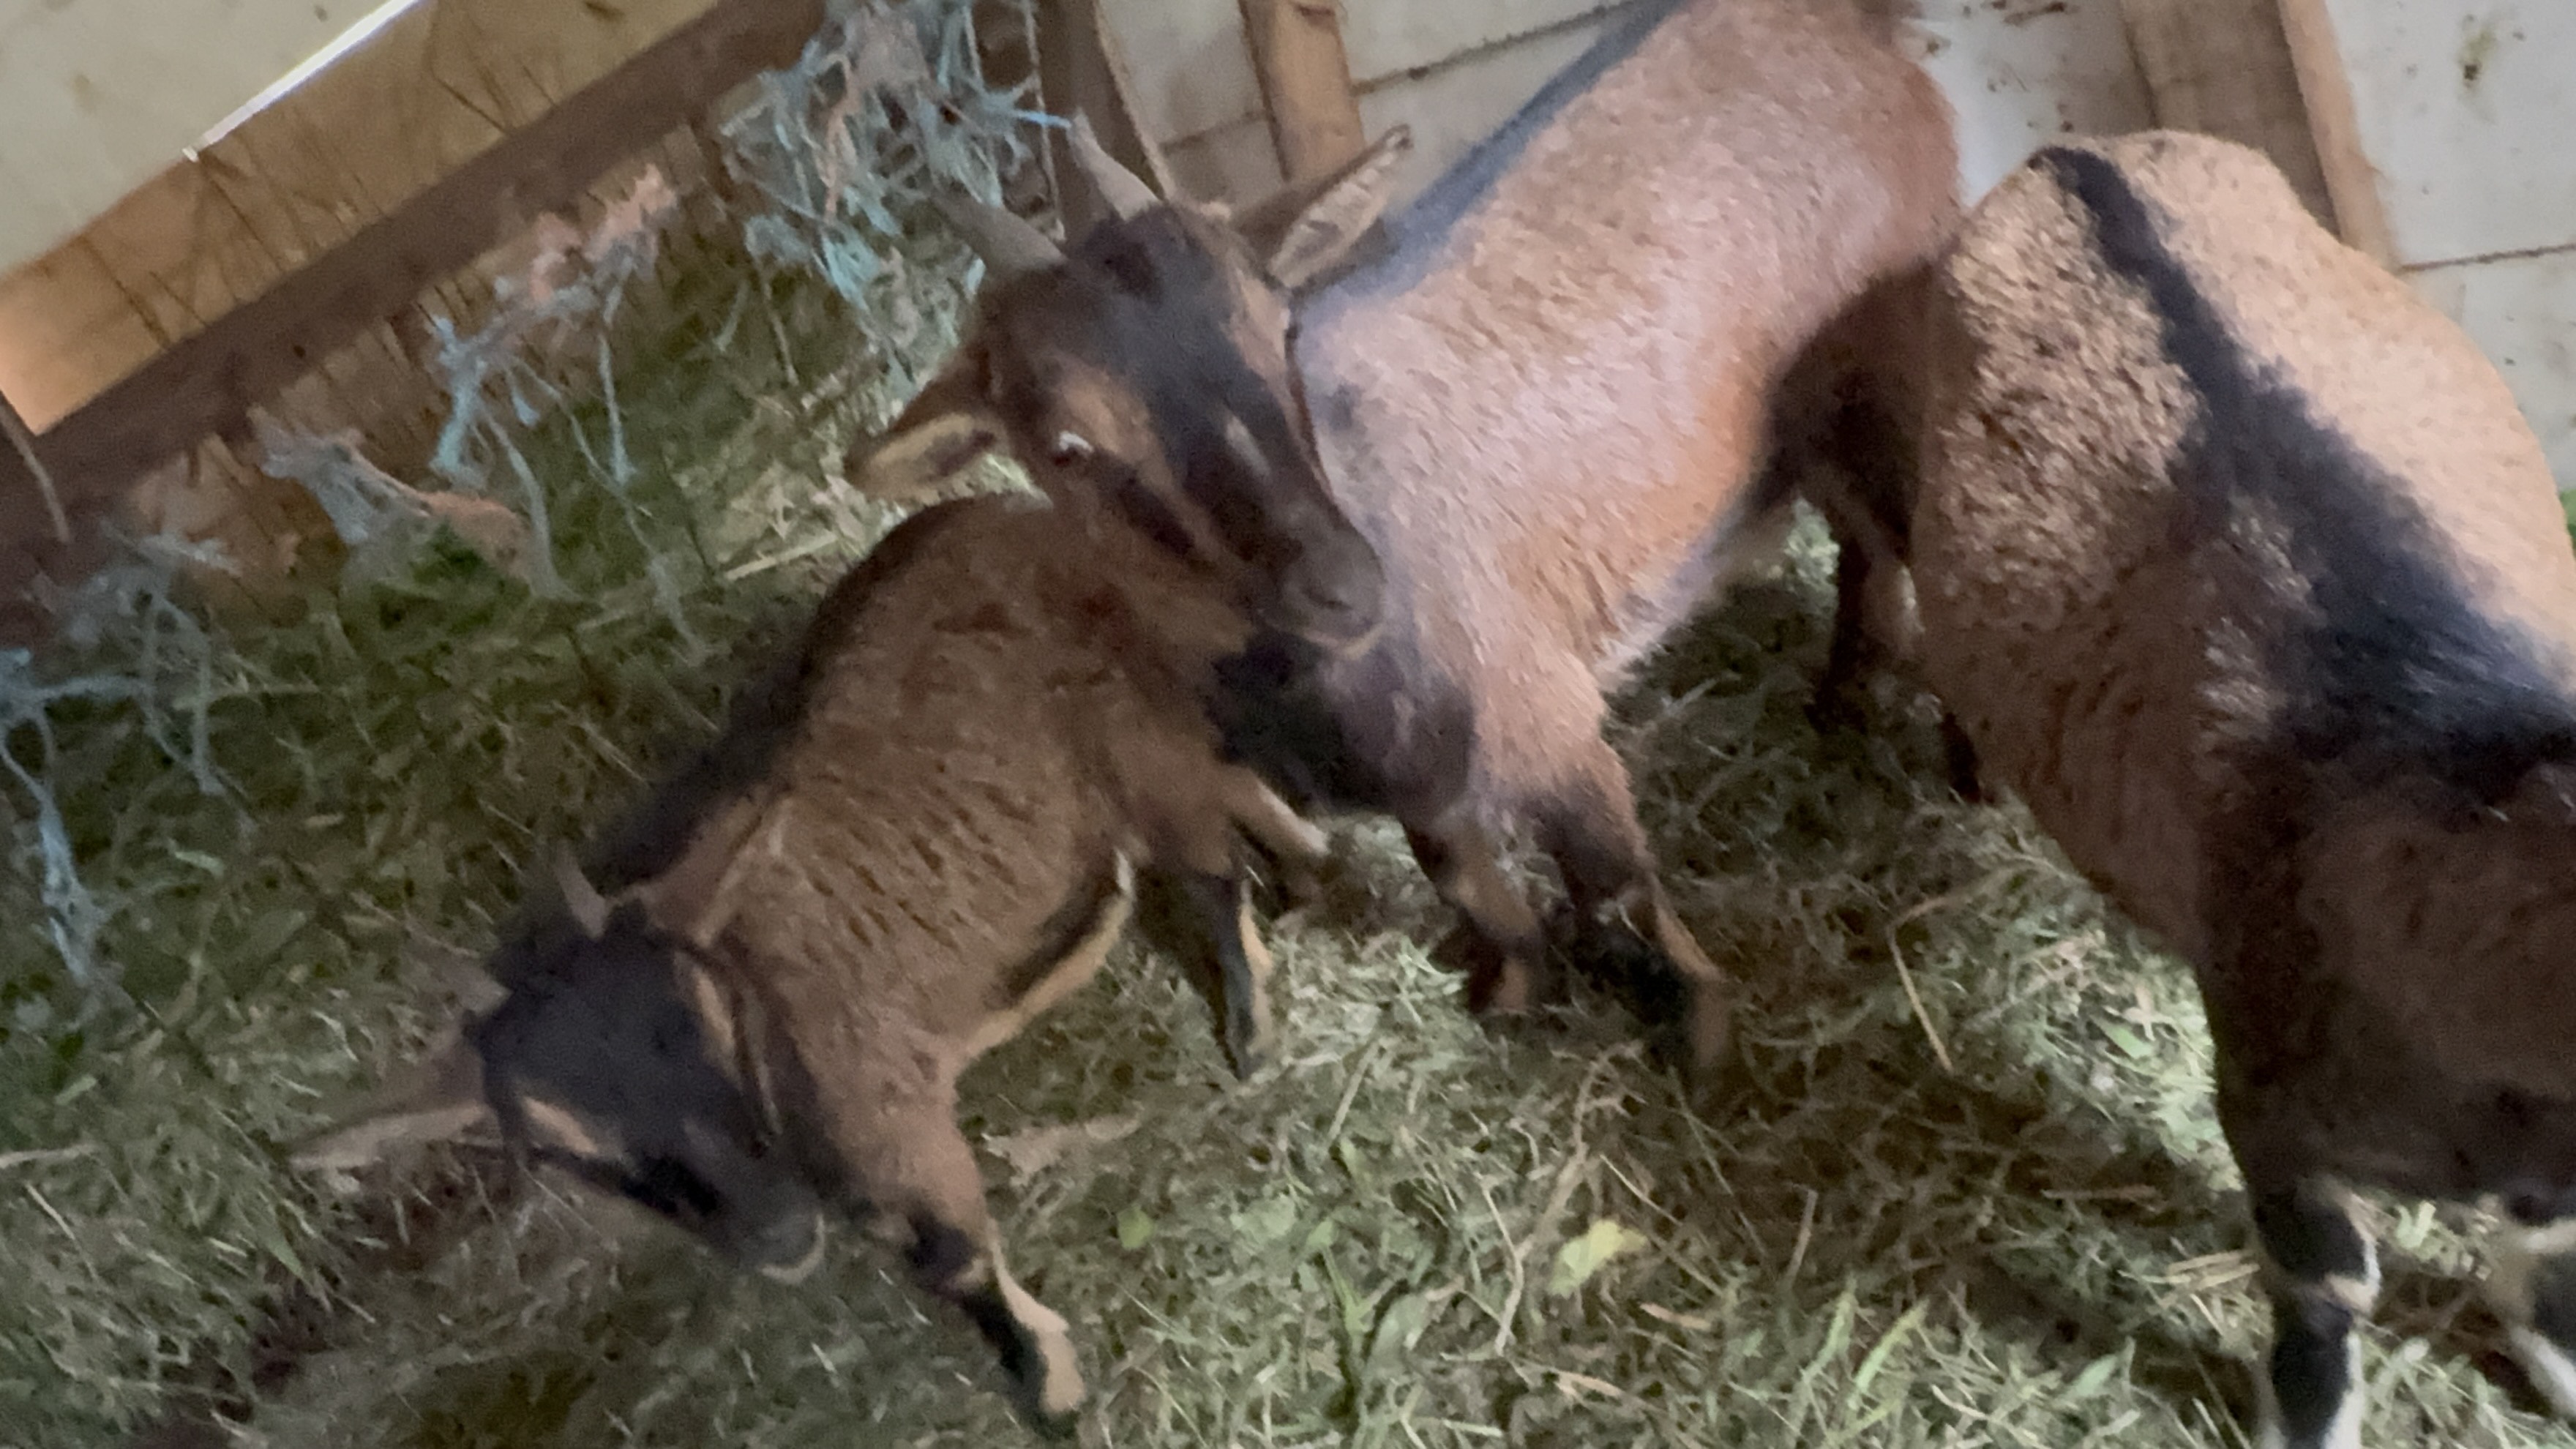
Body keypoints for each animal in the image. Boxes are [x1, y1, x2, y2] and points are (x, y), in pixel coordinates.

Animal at [294, 492, 1327, 1437]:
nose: (778, 1232)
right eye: (556, 1145)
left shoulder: (883, 1109)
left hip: (1134, 739)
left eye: (712, 1027)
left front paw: (1049, 1388)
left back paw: (1253, 1024)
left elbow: (949, 1255)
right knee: (1240, 791)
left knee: (1210, 869)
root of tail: (1024, 512)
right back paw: (1309, 869)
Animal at [855, 0, 1960, 1085]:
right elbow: (1462, 875)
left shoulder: (1545, 714)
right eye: (1067, 445)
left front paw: (1704, 1038)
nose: (1343, 584)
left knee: (1887, 537)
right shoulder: (1422, 781)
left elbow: (1613, 875)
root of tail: (1854, 28)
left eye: (1280, 327)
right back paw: (1844, 699)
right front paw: (1513, 987)